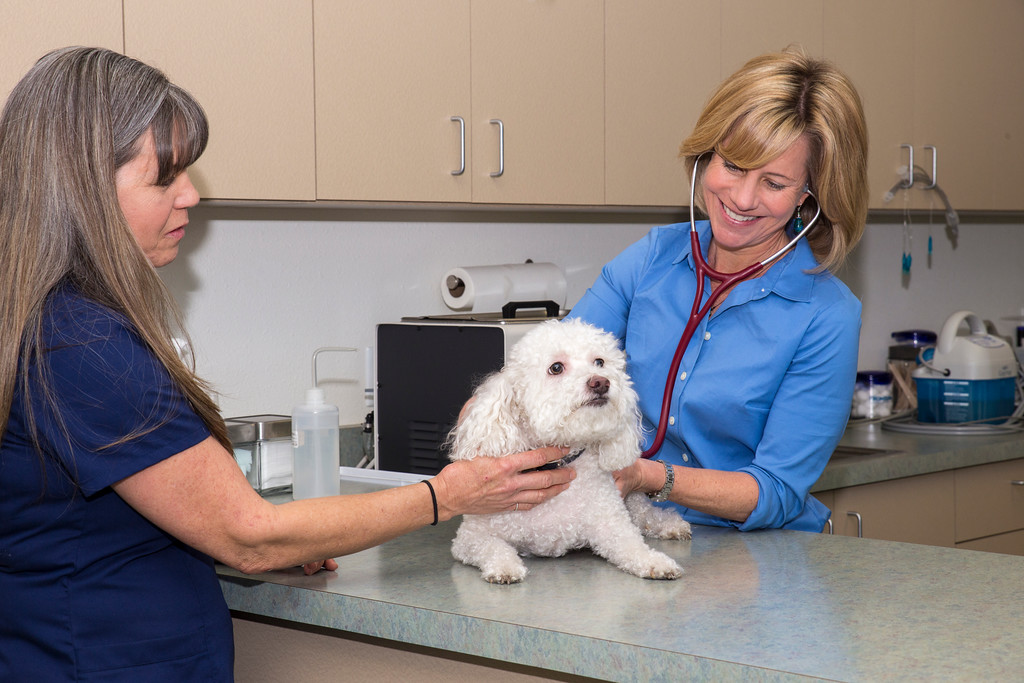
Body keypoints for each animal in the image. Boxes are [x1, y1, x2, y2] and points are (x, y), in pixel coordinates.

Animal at [446, 317, 692, 585]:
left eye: (599, 362)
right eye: (556, 368)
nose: (600, 382)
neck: (563, 459)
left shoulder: (612, 525)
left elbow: (632, 545)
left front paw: (656, 561)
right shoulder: (470, 537)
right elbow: (493, 548)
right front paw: (505, 568)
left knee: (644, 513)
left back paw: (670, 524)